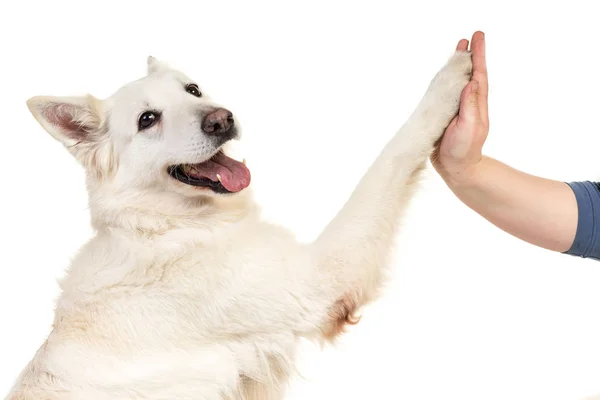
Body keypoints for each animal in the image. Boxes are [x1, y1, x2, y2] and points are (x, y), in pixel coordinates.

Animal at [5, 48, 474, 398]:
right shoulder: (321, 280)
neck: (165, 227)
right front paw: (451, 79)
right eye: (147, 120)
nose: (222, 119)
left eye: (193, 89)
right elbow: (393, 155)